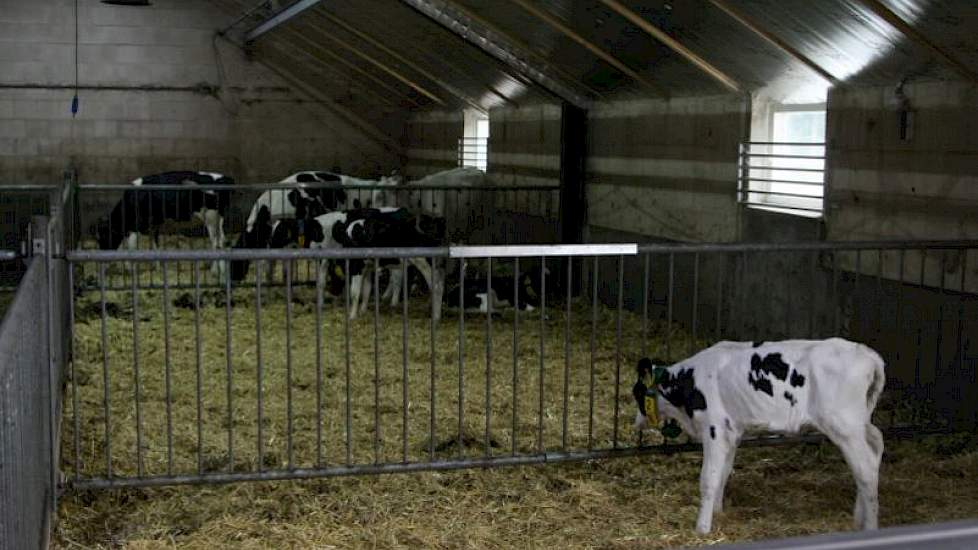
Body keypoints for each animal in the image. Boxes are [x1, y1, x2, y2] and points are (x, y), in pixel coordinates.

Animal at [93, 171, 234, 280]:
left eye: (104, 237)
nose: (101, 263)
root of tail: (225, 178)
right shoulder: (154, 224)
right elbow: (155, 245)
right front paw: (157, 268)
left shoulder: (135, 226)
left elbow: (131, 248)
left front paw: (130, 271)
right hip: (217, 219)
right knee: (221, 240)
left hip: (210, 217)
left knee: (216, 242)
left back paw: (215, 271)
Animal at [632, 338, 884, 536]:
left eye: (637, 392)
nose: (636, 421)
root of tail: (867, 354)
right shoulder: (731, 432)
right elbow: (724, 472)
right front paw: (718, 512)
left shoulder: (714, 429)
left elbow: (709, 478)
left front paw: (702, 528)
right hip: (860, 422)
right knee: (876, 445)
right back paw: (858, 517)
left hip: (844, 426)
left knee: (865, 469)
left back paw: (870, 526)